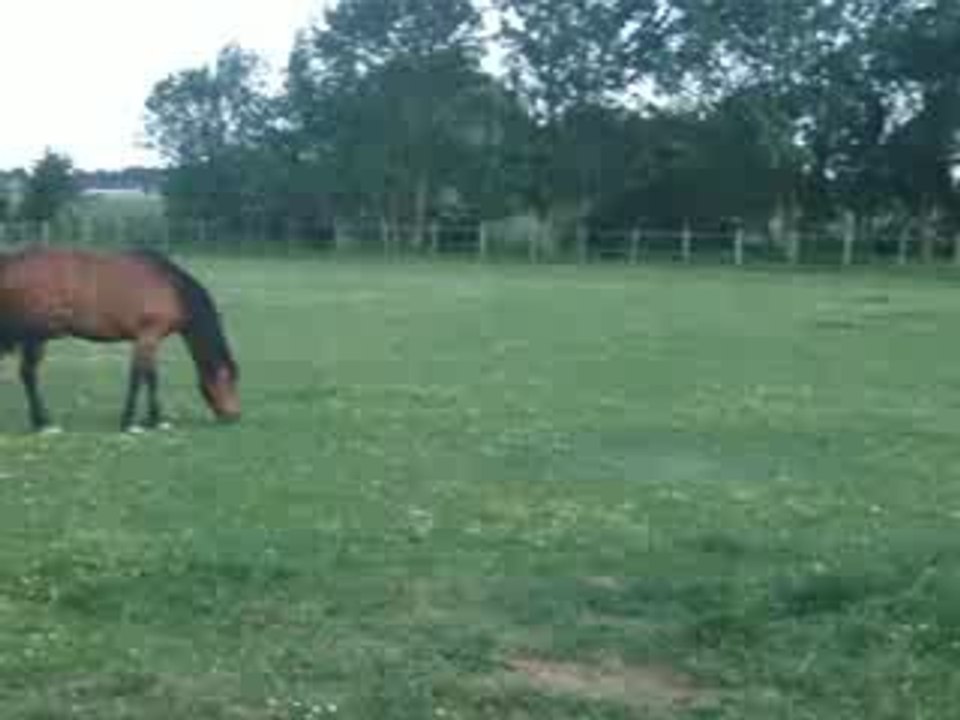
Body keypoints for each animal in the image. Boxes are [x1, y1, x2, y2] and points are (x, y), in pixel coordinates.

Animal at [0, 244, 240, 433]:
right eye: (229, 380)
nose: (234, 416)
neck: (172, 288)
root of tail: (10, 263)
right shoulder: (147, 336)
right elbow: (139, 377)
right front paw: (130, 421)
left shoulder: (149, 340)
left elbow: (150, 377)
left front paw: (154, 419)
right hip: (35, 337)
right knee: (28, 374)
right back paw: (44, 423)